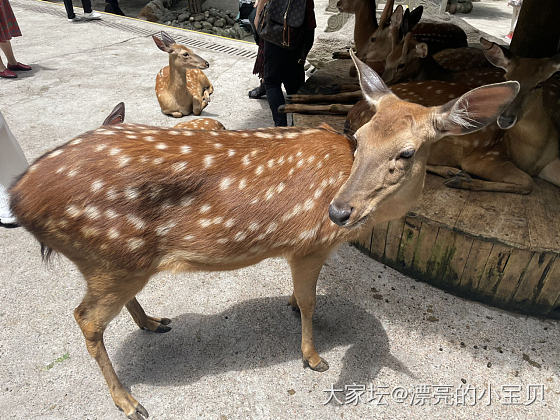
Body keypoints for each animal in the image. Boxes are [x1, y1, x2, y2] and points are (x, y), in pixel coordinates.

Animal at [8, 53, 520, 420]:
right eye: (361, 137)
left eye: (407, 151)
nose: (338, 211)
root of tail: (19, 198)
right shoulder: (309, 243)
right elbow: (310, 302)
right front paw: (313, 358)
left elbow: (301, 296)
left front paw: (293, 311)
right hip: (110, 256)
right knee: (85, 318)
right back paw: (129, 402)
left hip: (117, 261)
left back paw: (153, 323)